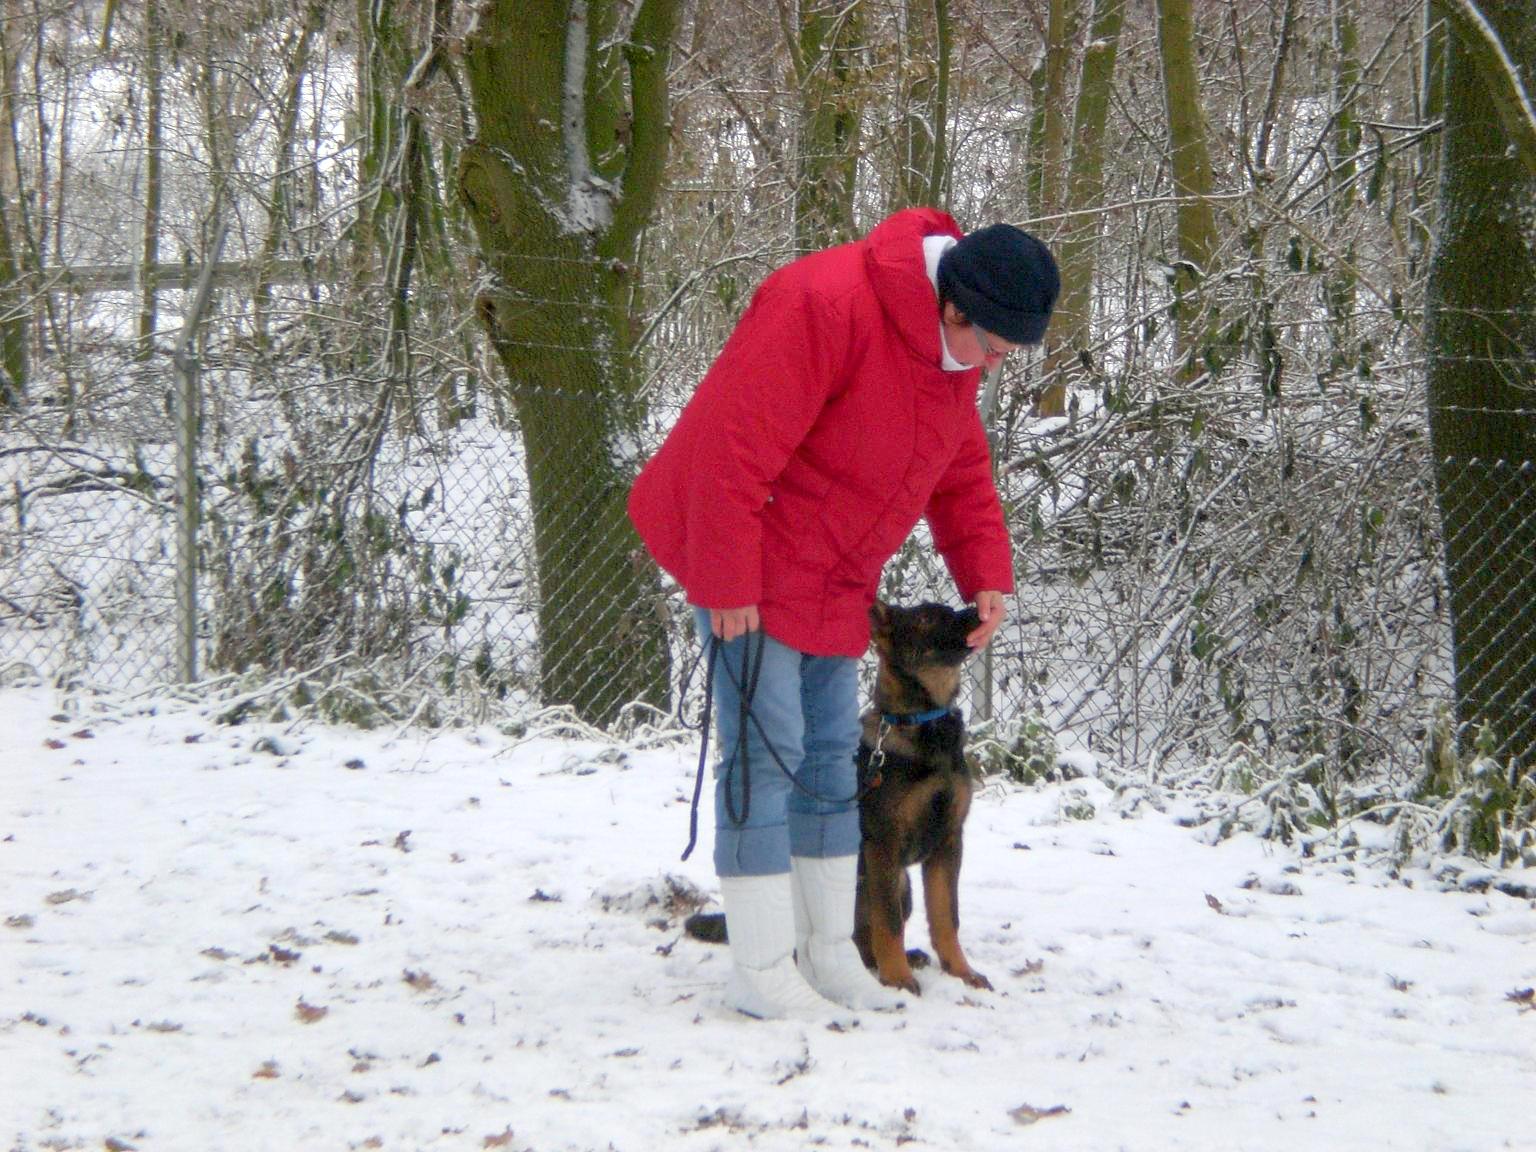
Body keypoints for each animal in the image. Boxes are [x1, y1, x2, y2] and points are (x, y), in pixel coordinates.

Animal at [860, 599, 989, 995]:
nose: (978, 610)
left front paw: (962, 971)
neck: (923, 718)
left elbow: (947, 915)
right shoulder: (882, 845)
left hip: (903, 886)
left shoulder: (948, 841)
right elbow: (887, 922)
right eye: (925, 619)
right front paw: (897, 979)